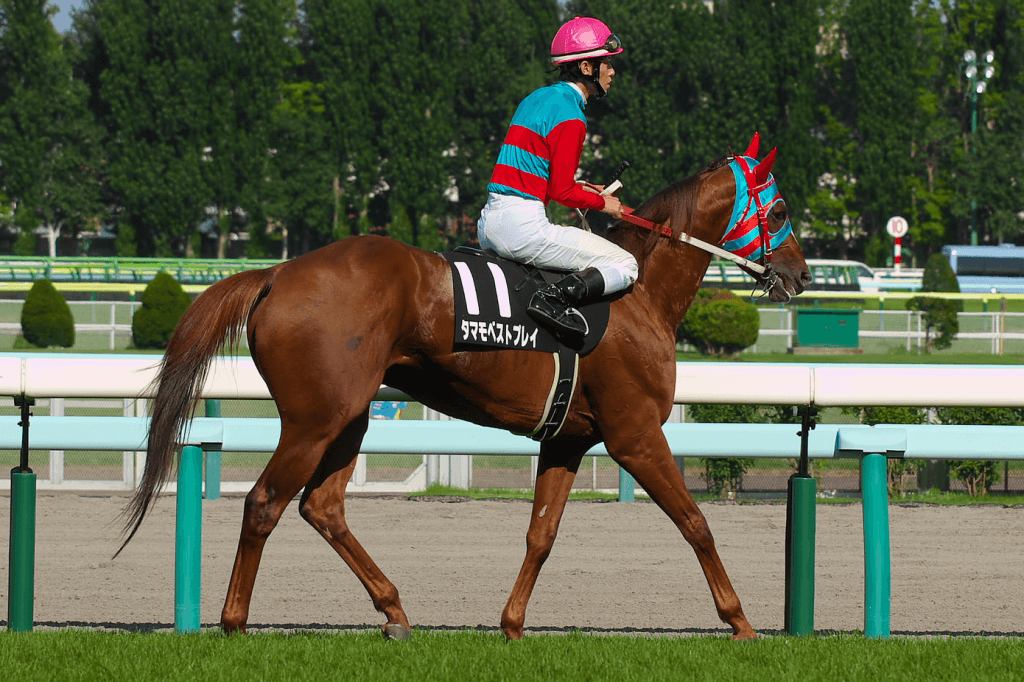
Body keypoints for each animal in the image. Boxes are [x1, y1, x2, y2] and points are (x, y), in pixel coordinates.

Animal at [118, 136, 811, 640]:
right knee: (264, 502)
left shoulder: (568, 439)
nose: (800, 275)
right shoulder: (635, 434)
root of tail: (278, 273)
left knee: (324, 506)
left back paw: (395, 612)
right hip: (315, 418)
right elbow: (696, 522)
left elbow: (541, 534)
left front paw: (512, 626)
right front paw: (742, 623)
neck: (636, 296)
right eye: (779, 210)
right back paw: (234, 624)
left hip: (349, 415)